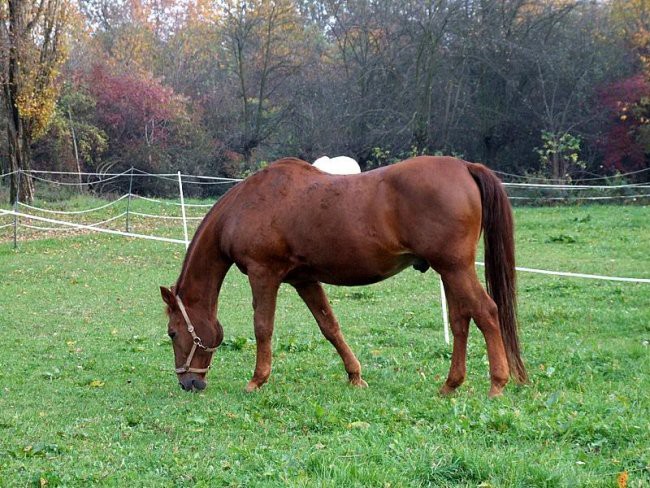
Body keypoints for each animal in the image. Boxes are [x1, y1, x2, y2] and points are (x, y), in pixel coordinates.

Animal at [161, 155, 528, 396]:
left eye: (172, 333)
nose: (188, 383)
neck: (246, 205)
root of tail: (465, 167)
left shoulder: (263, 274)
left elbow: (263, 327)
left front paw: (257, 380)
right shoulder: (303, 279)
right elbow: (330, 327)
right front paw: (355, 376)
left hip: (455, 268)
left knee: (486, 312)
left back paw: (497, 384)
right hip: (450, 271)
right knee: (461, 321)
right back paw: (451, 385)